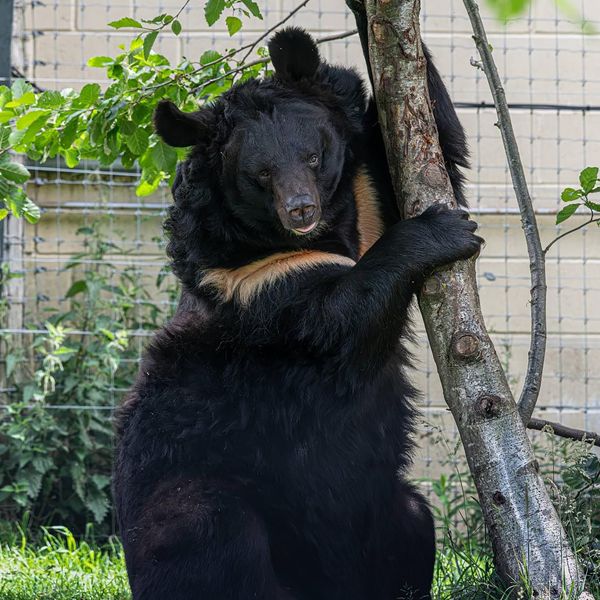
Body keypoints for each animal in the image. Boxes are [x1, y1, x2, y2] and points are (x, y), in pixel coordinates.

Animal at [111, 27, 478, 600]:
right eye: (260, 173)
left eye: (312, 156)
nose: (300, 209)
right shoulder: (254, 287)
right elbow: (340, 322)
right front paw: (445, 231)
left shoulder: (367, 192)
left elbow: (432, 146)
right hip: (186, 495)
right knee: (212, 532)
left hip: (379, 513)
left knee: (414, 521)